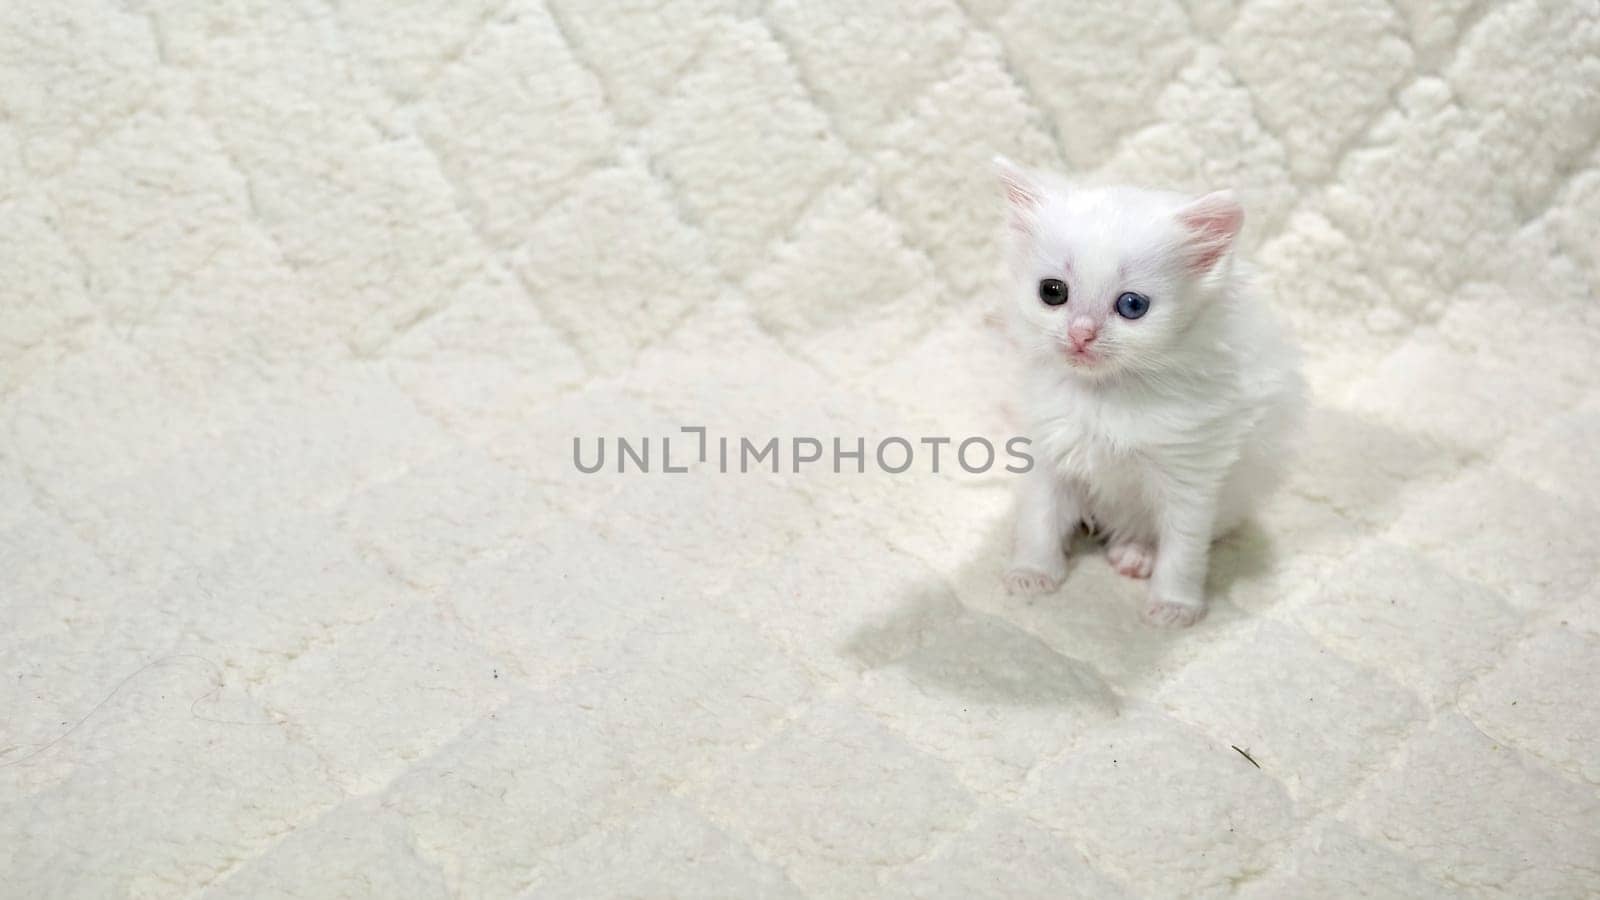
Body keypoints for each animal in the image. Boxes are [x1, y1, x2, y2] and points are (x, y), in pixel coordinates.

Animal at [992, 156, 1305, 624]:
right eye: (1052, 292)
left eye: (1132, 305)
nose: (1080, 334)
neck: (1104, 395)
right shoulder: (1046, 450)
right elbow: (1040, 517)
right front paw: (1033, 572)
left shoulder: (1191, 470)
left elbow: (1184, 545)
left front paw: (1176, 605)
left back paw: (1136, 552)